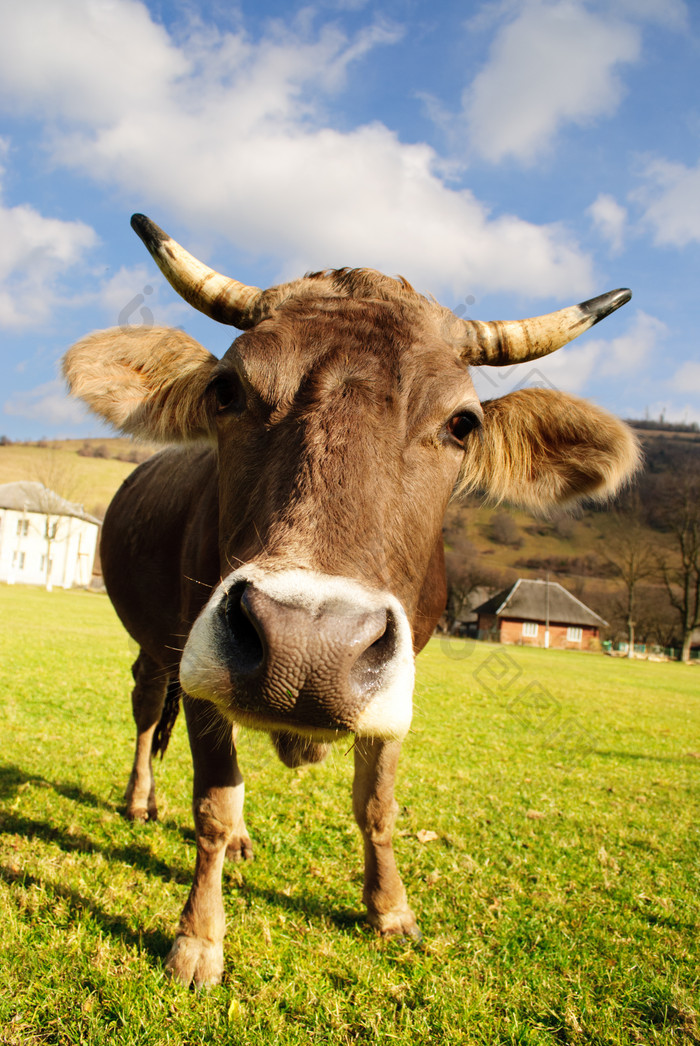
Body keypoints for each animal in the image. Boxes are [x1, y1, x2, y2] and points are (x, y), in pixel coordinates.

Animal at [62, 214, 640, 987]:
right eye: (226, 391)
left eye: (463, 424)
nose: (307, 646)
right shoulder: (203, 669)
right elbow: (212, 802)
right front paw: (198, 939)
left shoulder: (394, 686)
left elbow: (377, 805)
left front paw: (390, 910)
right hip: (159, 648)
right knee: (149, 711)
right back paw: (138, 799)